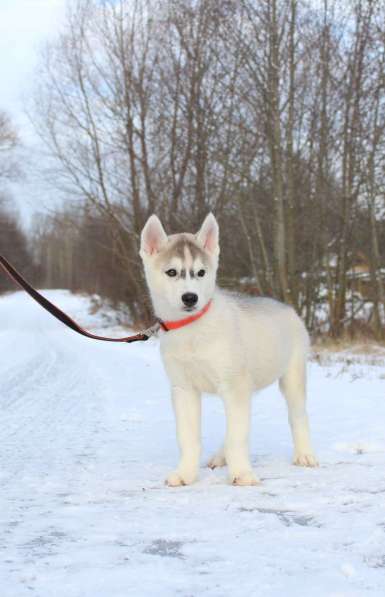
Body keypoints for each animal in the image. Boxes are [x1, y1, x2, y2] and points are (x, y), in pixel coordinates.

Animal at [140, 213, 316, 484]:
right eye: (171, 272)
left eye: (201, 272)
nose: (190, 298)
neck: (192, 329)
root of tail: (286, 307)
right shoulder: (184, 389)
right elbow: (188, 438)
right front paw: (185, 473)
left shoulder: (234, 385)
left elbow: (238, 437)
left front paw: (242, 474)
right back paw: (220, 457)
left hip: (291, 377)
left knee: (297, 416)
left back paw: (304, 454)